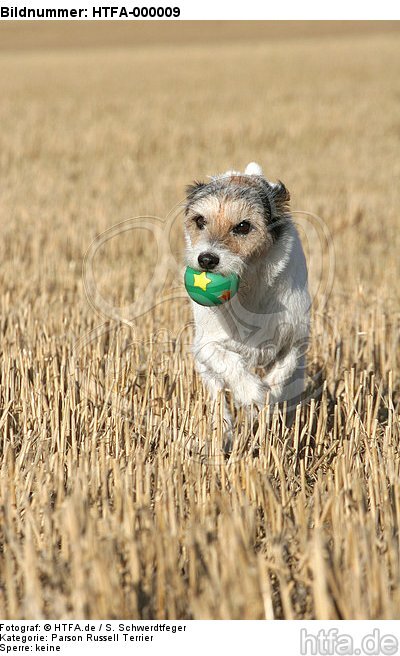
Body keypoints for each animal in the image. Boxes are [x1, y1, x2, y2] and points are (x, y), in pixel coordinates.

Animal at [184, 162, 312, 434]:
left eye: (243, 226)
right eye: (200, 220)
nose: (206, 259)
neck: (249, 286)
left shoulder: (296, 339)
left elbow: (283, 370)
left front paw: (266, 398)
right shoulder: (205, 345)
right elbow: (227, 360)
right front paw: (251, 392)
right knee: (217, 392)